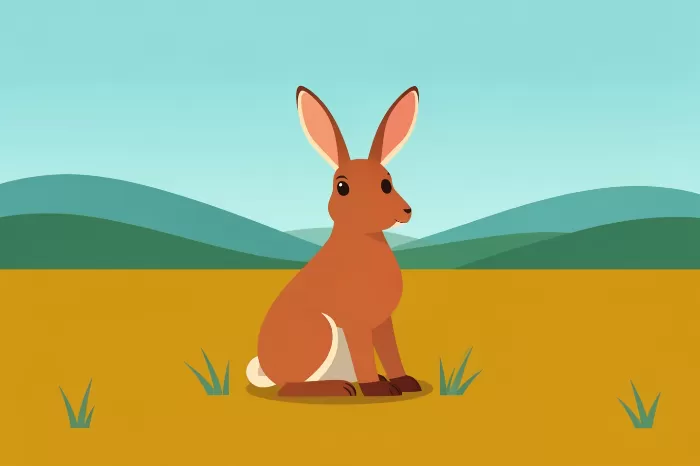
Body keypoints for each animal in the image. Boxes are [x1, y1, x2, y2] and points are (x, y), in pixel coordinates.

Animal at [245, 85, 421, 396]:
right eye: (342, 187)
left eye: (387, 183)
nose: (406, 211)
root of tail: (267, 370)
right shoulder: (355, 323)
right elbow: (364, 355)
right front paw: (376, 389)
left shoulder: (382, 322)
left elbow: (391, 352)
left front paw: (403, 382)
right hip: (319, 331)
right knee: (287, 388)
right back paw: (341, 388)